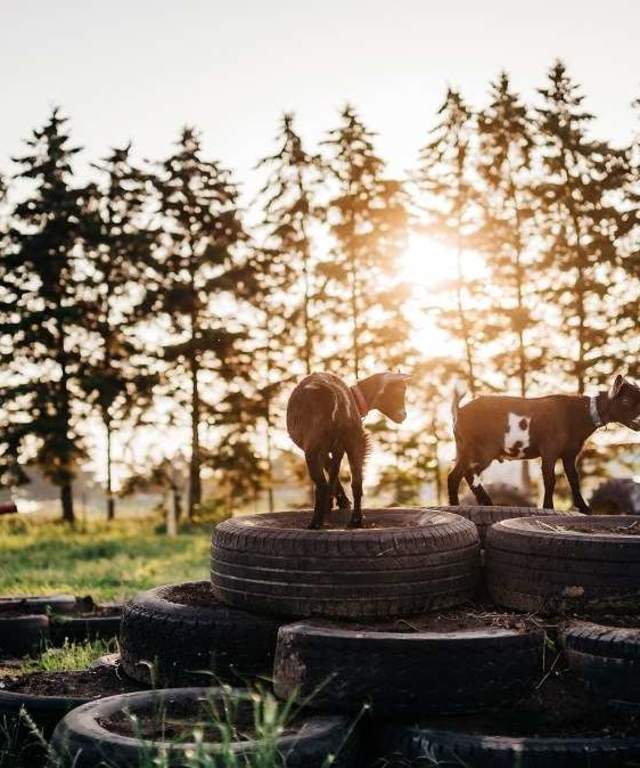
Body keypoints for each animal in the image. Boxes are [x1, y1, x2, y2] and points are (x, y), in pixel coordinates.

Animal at [287, 371, 410, 529]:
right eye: (397, 390)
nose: (403, 415)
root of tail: (334, 395)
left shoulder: (326, 448)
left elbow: (331, 469)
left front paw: (334, 504)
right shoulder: (338, 447)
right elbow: (334, 469)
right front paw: (338, 503)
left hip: (313, 445)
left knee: (321, 485)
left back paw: (316, 523)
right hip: (354, 439)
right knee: (356, 481)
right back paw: (355, 520)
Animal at [448, 375, 640, 512]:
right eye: (626, 401)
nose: (639, 421)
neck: (579, 414)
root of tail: (460, 411)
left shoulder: (569, 454)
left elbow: (574, 479)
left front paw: (585, 509)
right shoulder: (549, 450)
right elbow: (550, 479)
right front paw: (549, 507)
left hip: (470, 450)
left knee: (467, 474)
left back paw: (483, 503)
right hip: (479, 449)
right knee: (459, 474)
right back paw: (458, 505)